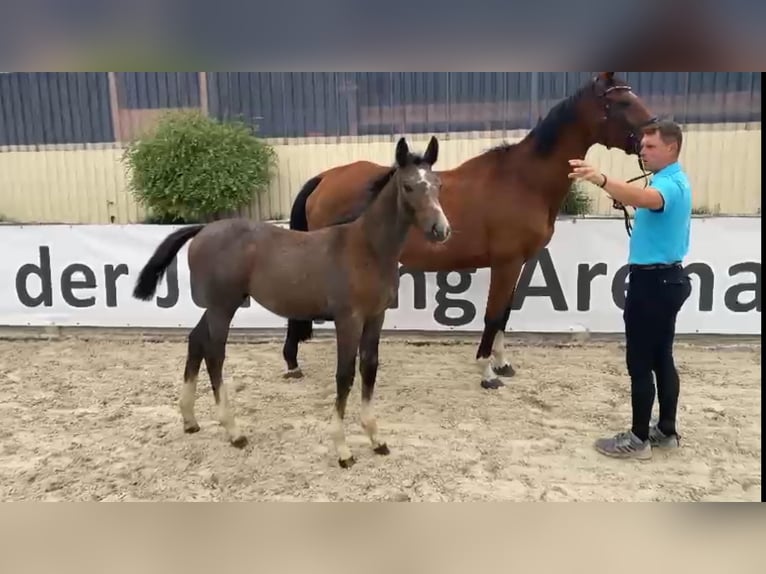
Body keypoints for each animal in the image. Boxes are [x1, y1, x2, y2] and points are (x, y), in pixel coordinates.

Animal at [129, 137, 448, 470]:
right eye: (408, 186)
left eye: (438, 184)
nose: (441, 230)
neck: (366, 249)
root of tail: (202, 229)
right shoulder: (348, 319)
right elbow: (344, 374)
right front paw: (343, 449)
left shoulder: (376, 317)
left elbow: (369, 369)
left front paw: (376, 439)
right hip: (222, 307)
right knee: (215, 354)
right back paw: (233, 431)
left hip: (219, 306)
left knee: (196, 340)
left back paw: (190, 419)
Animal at [282, 72, 660, 392]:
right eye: (623, 102)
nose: (653, 136)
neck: (524, 180)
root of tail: (325, 178)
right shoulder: (506, 262)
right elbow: (493, 315)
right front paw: (487, 371)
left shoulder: (518, 264)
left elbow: (505, 313)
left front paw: (503, 363)